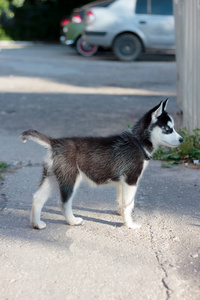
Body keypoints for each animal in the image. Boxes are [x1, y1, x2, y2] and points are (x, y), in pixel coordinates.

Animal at [20, 100, 183, 230]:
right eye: (167, 129)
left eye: (173, 127)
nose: (182, 139)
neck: (138, 142)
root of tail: (54, 142)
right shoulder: (131, 180)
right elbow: (129, 204)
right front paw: (130, 224)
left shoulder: (123, 181)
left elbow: (122, 201)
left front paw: (121, 214)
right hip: (70, 178)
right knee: (64, 203)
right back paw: (73, 221)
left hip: (52, 177)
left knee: (37, 197)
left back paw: (37, 224)